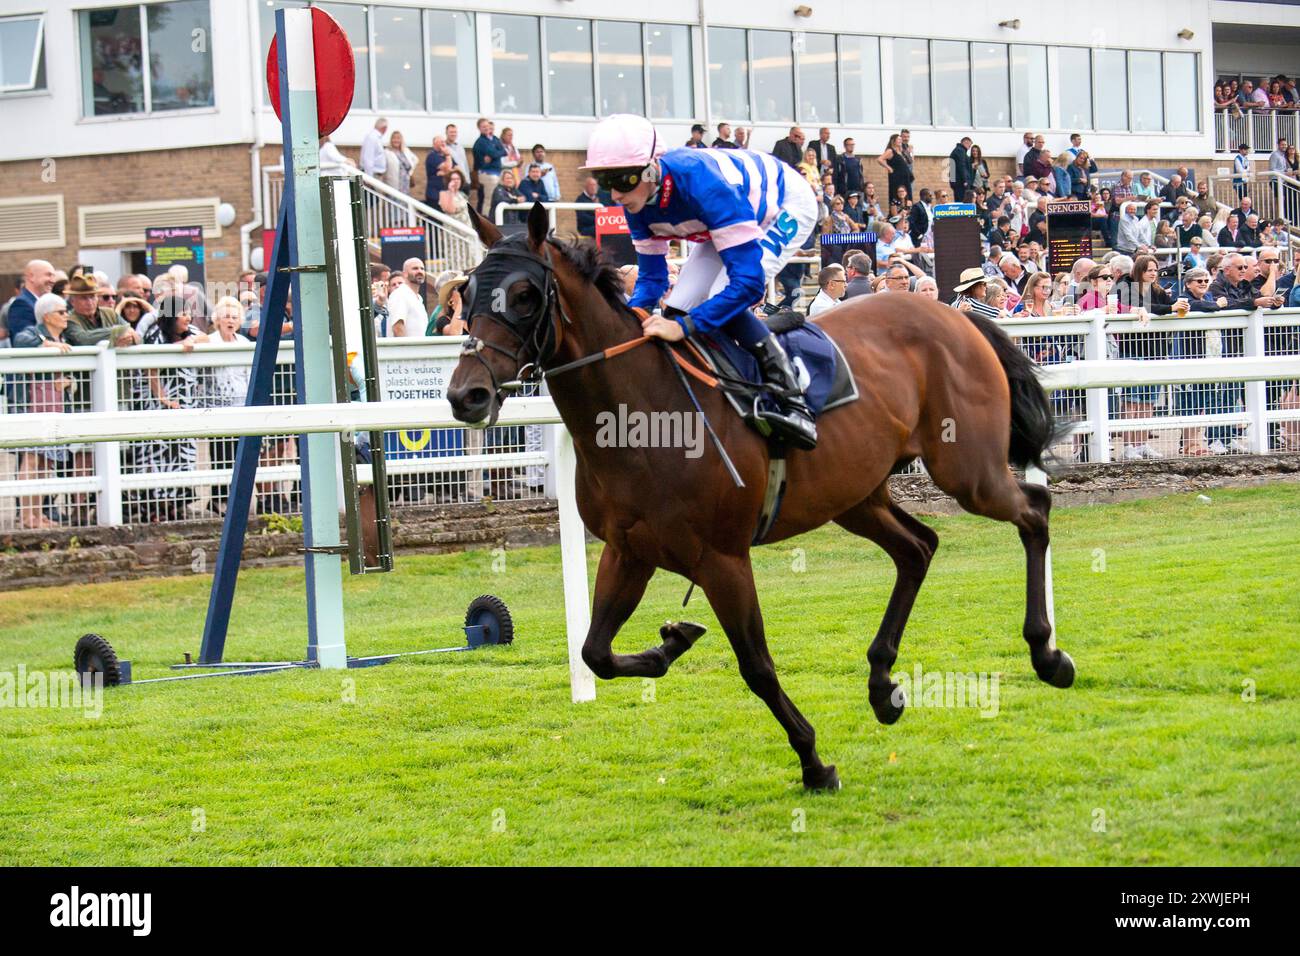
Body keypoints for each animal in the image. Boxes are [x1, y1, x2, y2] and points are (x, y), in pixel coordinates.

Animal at [449, 205, 1076, 796]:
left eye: (525, 296)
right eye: (466, 293)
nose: (465, 395)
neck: (640, 415)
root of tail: (957, 315)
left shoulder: (722, 558)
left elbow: (756, 666)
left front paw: (815, 762)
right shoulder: (629, 551)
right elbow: (595, 653)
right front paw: (673, 641)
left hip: (968, 471)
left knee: (1032, 512)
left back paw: (1048, 655)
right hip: (855, 496)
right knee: (919, 547)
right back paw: (882, 686)